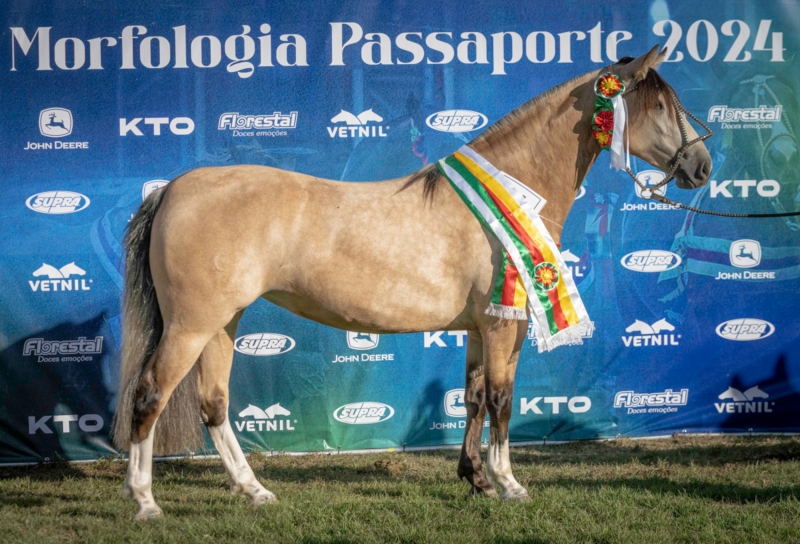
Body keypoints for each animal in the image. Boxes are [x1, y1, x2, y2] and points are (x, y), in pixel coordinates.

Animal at [111, 46, 712, 520]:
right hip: (191, 325)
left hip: (223, 322)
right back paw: (145, 502)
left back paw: (254, 491)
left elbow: (472, 398)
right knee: (149, 394)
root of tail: (171, 189)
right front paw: (509, 483)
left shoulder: (479, 328)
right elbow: (502, 399)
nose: (702, 166)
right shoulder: (503, 325)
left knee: (213, 403)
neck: (514, 192)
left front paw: (475, 479)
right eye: (659, 105)